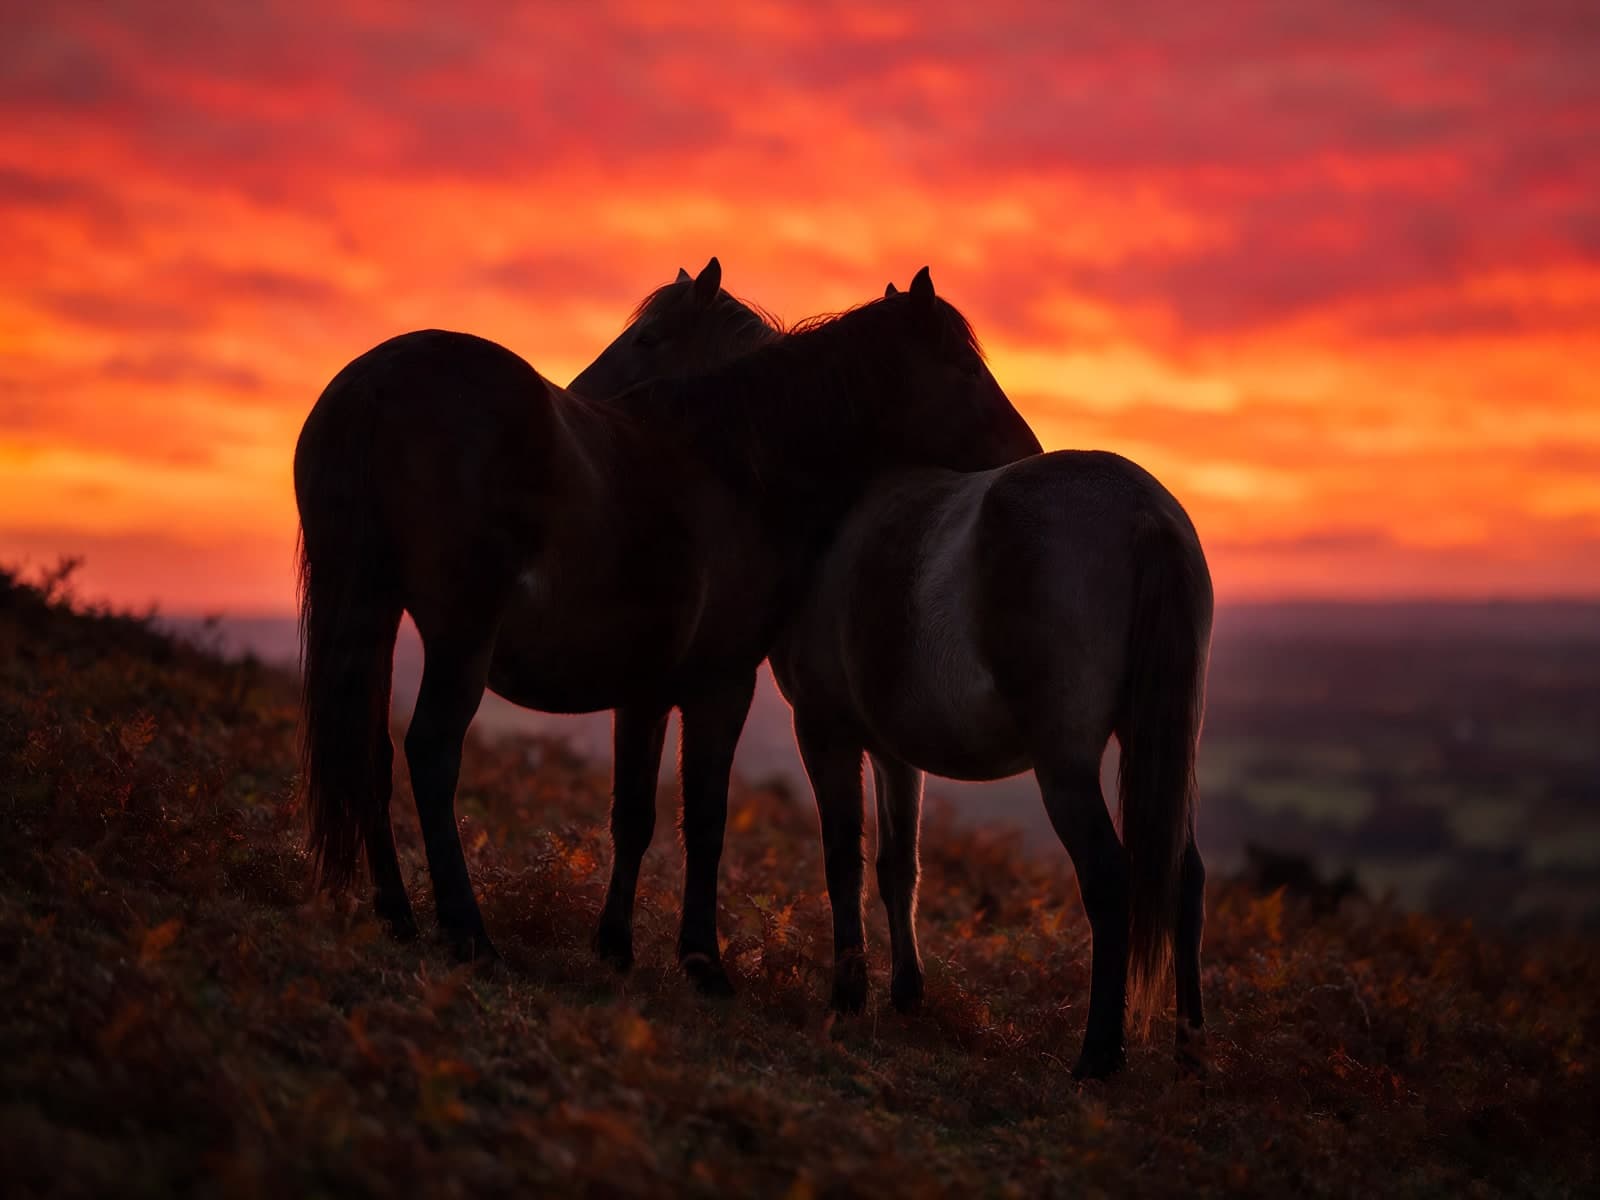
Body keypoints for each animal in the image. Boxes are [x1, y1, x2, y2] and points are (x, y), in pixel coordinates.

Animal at [293, 263, 1042, 997]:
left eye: (649, 337)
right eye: (966, 368)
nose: (1029, 453)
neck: (736, 468)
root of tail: (378, 382)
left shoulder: (644, 694)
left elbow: (634, 817)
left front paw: (616, 946)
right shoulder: (722, 684)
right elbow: (705, 820)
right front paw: (702, 960)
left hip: (376, 611)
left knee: (369, 753)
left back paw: (397, 914)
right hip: (460, 637)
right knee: (430, 754)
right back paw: (469, 935)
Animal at [767, 300, 1213, 1078]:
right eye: (966, 367)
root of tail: (1144, 513)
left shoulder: (824, 731)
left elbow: (842, 857)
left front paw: (848, 996)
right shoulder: (894, 749)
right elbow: (899, 865)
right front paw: (906, 993)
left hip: (1064, 764)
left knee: (1111, 878)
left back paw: (1098, 1056)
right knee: (1181, 877)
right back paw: (1188, 1053)